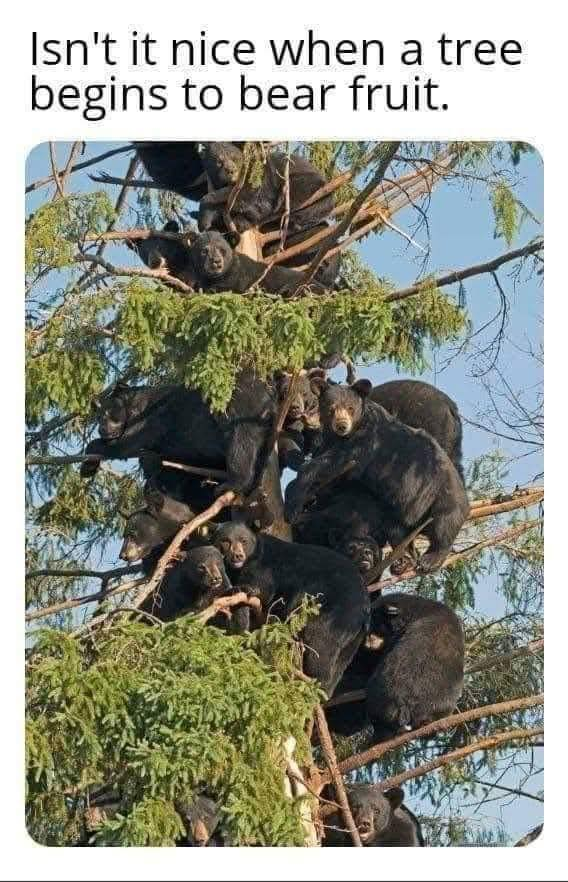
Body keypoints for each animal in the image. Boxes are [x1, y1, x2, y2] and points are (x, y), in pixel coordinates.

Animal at [79, 370, 277, 502]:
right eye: (98, 416)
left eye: (110, 413)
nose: (102, 429)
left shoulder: (154, 419)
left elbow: (125, 444)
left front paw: (88, 462)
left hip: (239, 410)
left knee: (240, 442)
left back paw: (232, 483)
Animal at [198, 142, 334, 234]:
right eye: (218, 162)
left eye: (235, 158)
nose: (231, 170)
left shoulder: (261, 176)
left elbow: (256, 199)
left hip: (307, 186)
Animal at [212, 522, 370, 696]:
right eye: (226, 541)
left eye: (244, 540)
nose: (237, 556)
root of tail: (365, 606)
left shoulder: (264, 567)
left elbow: (262, 589)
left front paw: (242, 588)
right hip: (354, 637)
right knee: (341, 663)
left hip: (335, 614)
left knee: (321, 645)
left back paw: (314, 681)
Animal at [284, 380, 469, 575]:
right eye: (331, 408)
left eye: (350, 408)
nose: (342, 425)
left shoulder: (366, 442)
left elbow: (334, 463)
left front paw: (293, 505)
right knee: (398, 532)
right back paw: (404, 560)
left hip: (438, 493)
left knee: (445, 523)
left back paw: (429, 559)